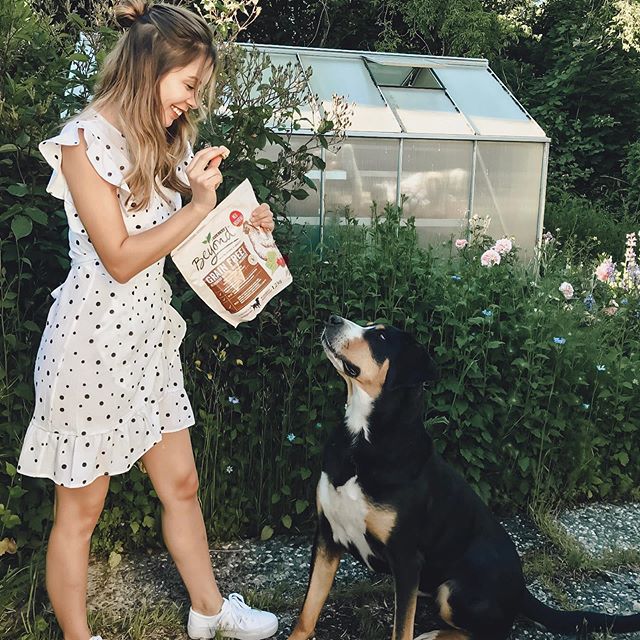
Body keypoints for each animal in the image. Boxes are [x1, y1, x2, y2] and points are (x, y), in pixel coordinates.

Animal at [288, 316, 640, 640]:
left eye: (381, 337)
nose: (332, 318)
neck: (361, 439)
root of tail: (522, 588)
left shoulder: (406, 558)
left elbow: (401, 629)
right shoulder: (327, 536)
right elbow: (309, 609)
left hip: (452, 592)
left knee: (492, 632)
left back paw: (432, 635)